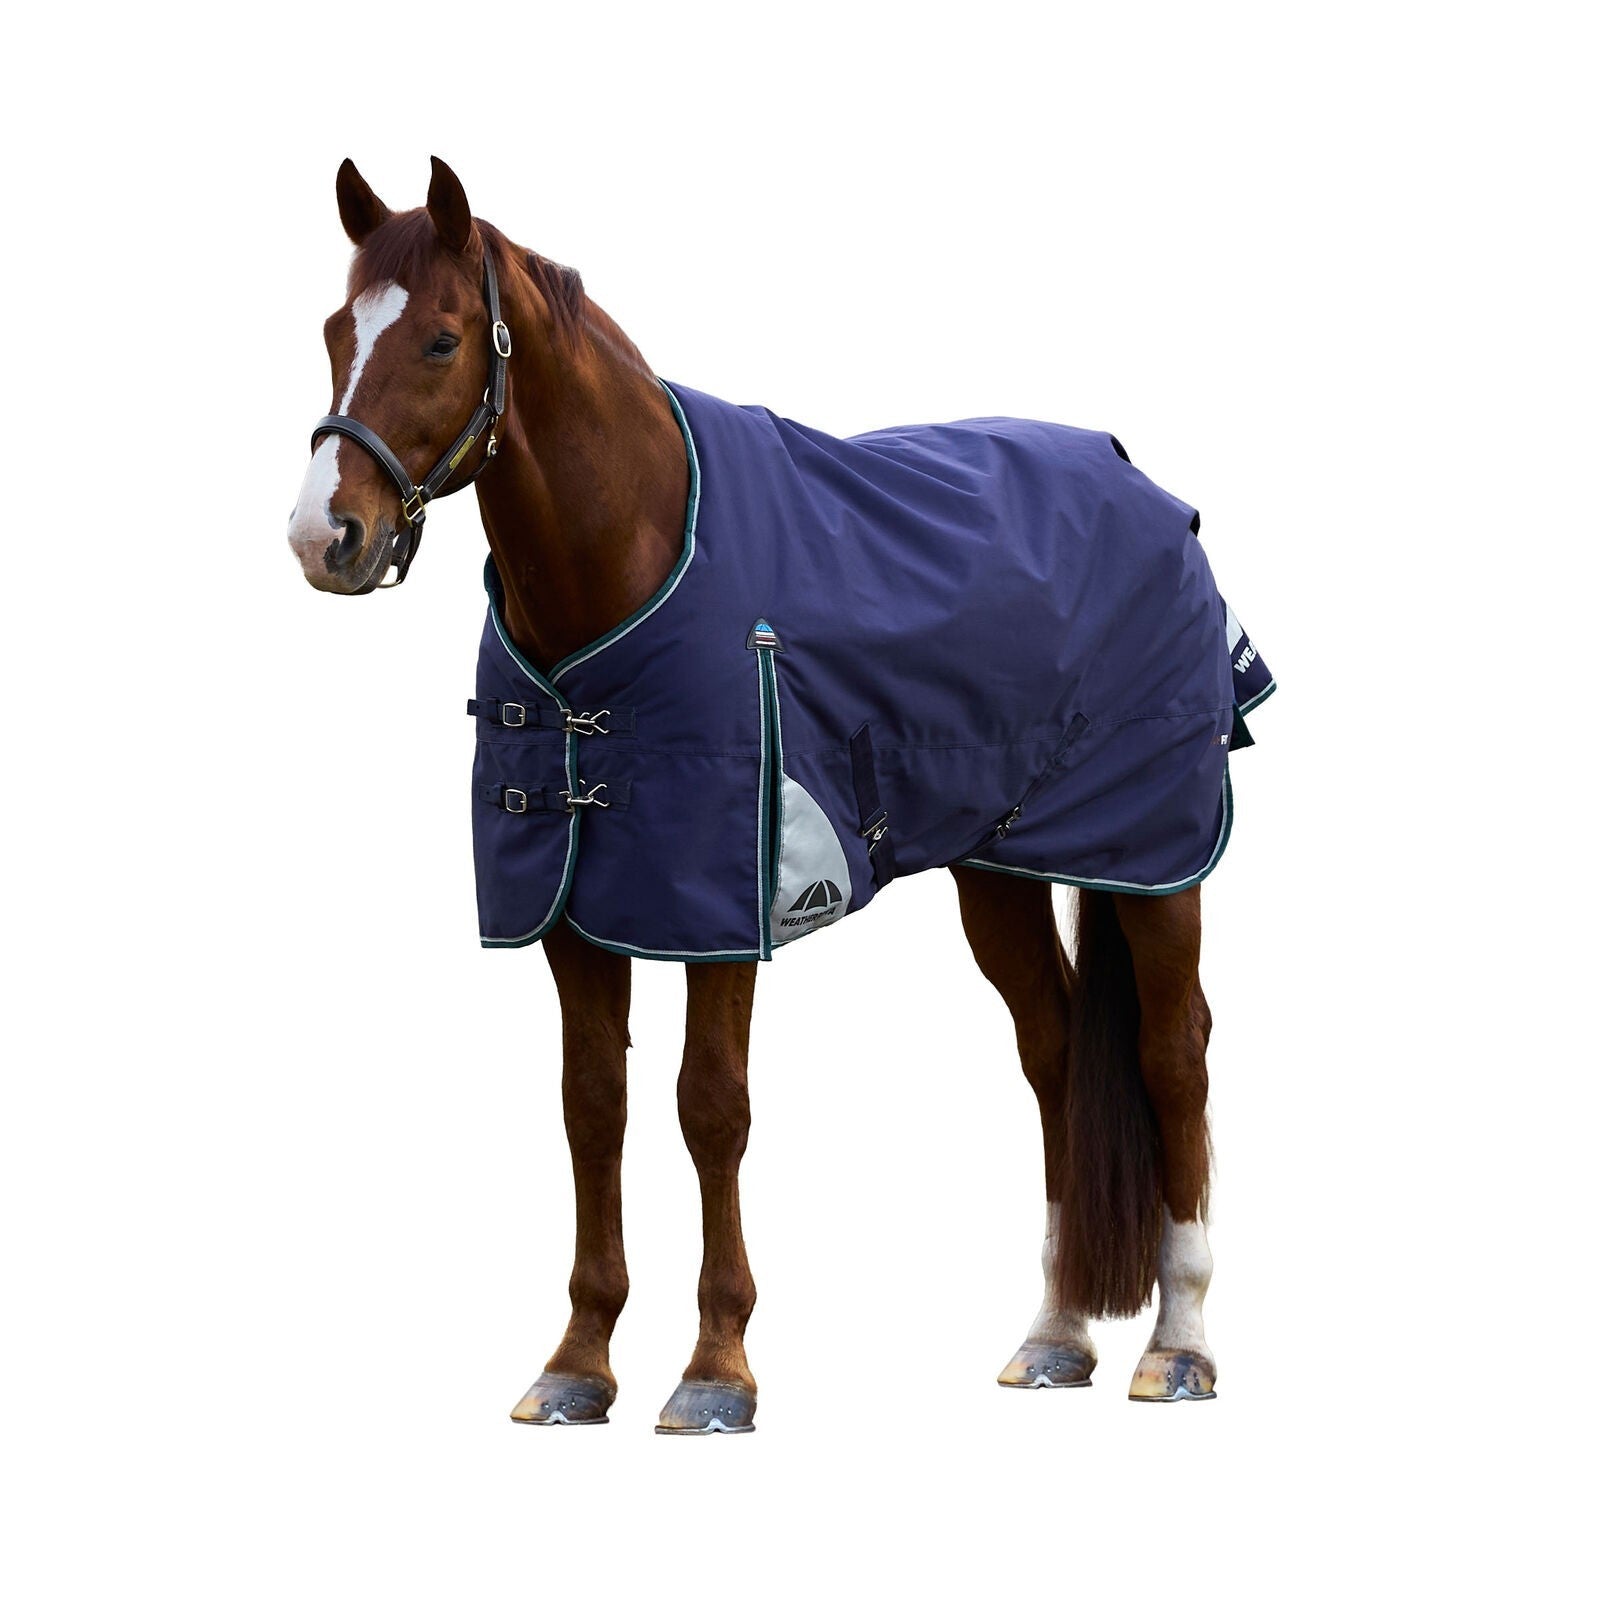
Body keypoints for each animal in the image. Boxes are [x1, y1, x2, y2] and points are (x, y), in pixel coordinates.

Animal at [287, 157, 1243, 1431]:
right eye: (337, 331)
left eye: (440, 339)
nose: (323, 535)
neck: (635, 557)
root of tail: (1141, 483)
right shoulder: (577, 907)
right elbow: (592, 1106)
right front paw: (578, 1361)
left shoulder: (720, 905)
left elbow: (709, 1107)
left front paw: (714, 1368)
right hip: (998, 868)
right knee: (1053, 1052)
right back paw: (1053, 1335)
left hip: (1153, 856)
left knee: (1171, 1053)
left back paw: (1177, 1344)